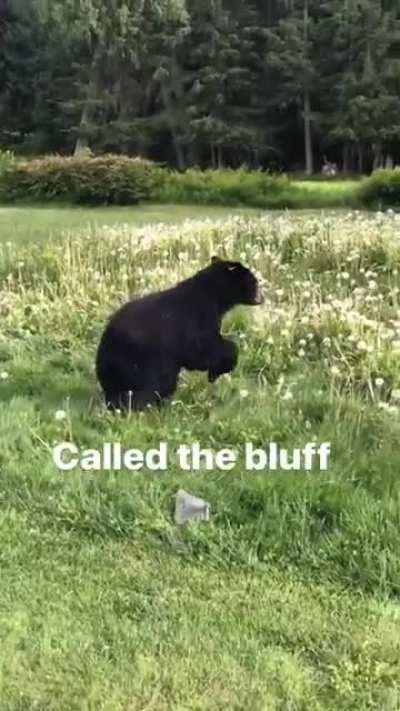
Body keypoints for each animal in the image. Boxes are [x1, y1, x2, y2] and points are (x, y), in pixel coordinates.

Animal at [96, 256, 263, 411]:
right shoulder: (197, 318)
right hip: (138, 361)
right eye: (255, 282)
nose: (262, 297)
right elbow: (200, 349)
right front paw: (222, 365)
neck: (213, 296)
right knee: (152, 385)